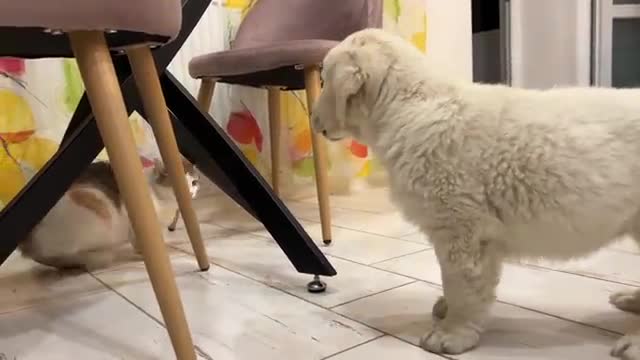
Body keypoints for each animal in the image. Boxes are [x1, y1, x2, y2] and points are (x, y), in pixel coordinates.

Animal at [312, 28, 640, 358]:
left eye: (324, 81)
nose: (313, 121)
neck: (407, 105)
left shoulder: (462, 228)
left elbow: (460, 284)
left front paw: (451, 334)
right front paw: (446, 310)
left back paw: (633, 341)